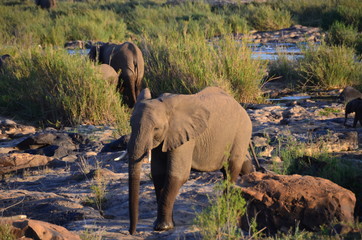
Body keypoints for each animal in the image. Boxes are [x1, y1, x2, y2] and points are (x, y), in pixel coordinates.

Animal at [127, 86, 255, 234]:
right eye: (130, 126)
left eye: (156, 128)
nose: (132, 232)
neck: (165, 106)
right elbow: (158, 175)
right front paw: (164, 225)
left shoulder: (185, 138)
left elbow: (177, 176)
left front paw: (163, 227)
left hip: (242, 132)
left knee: (231, 169)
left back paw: (225, 210)